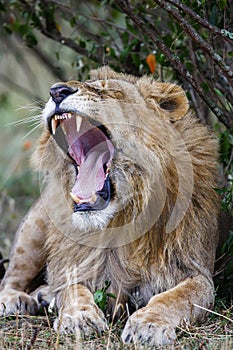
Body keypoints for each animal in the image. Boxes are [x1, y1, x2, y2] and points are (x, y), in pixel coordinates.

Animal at [0, 67, 219, 346]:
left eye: (108, 90)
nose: (57, 91)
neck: (127, 213)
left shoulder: (197, 271)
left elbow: (174, 297)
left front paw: (148, 325)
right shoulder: (78, 262)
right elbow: (73, 291)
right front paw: (79, 318)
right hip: (33, 230)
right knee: (12, 276)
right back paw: (15, 300)